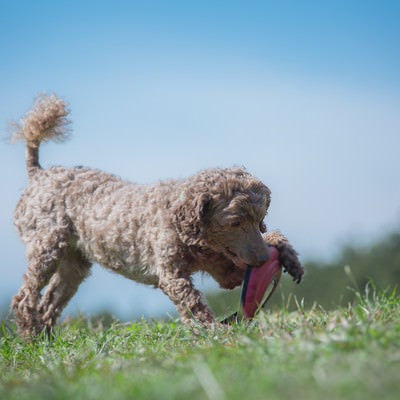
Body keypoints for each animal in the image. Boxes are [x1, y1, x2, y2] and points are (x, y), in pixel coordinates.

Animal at [10, 94, 304, 338]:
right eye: (235, 222)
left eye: (259, 218)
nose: (264, 260)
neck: (188, 229)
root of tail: (39, 172)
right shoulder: (172, 274)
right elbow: (192, 303)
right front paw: (213, 330)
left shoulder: (226, 268)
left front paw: (287, 253)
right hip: (47, 246)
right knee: (25, 298)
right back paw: (31, 337)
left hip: (75, 261)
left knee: (49, 302)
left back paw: (45, 339)